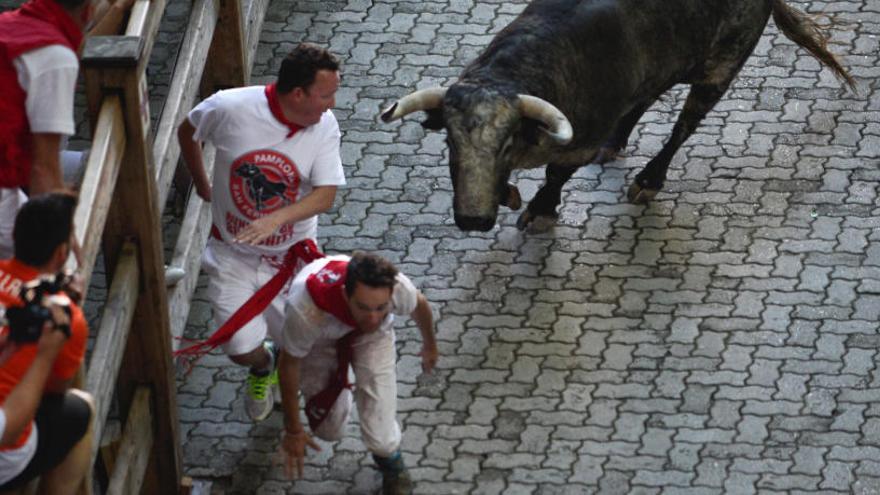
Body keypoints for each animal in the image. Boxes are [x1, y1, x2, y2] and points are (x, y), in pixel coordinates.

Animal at [378, 0, 852, 232]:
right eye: (449, 141)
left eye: (508, 140)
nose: (473, 220)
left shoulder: (576, 146)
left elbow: (556, 175)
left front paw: (540, 210)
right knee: (645, 99)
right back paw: (617, 143)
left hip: (721, 69)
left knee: (685, 125)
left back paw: (649, 179)